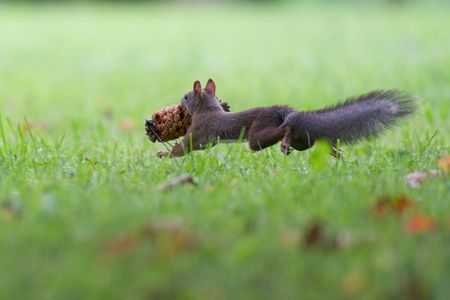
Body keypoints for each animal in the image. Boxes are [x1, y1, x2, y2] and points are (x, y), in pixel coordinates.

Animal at [157, 79, 414, 158]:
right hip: (303, 141)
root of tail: (286, 112)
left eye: (186, 96)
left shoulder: (199, 130)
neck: (208, 108)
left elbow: (184, 148)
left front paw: (164, 154)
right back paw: (333, 151)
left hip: (257, 135)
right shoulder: (206, 140)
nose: (180, 102)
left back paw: (285, 140)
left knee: (284, 130)